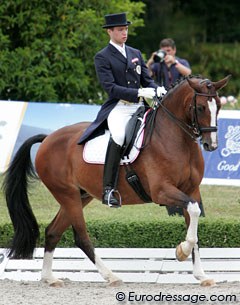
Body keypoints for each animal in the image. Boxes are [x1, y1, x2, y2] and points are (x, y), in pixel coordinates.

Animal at [2, 75, 231, 286]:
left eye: (219, 106)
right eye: (200, 107)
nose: (211, 145)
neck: (175, 139)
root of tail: (47, 139)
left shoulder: (191, 190)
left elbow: (195, 221)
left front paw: (201, 275)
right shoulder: (162, 191)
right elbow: (193, 211)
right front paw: (181, 251)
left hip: (79, 196)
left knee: (52, 231)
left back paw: (49, 278)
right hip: (67, 195)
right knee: (81, 237)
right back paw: (111, 276)